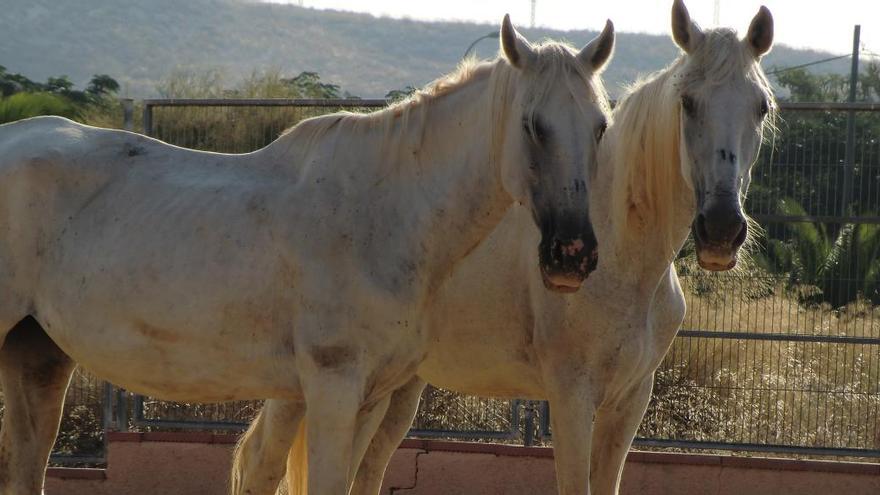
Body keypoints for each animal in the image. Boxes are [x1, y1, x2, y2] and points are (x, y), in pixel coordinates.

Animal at [0, 15, 612, 495]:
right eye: (533, 125)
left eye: (601, 126)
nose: (572, 256)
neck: (384, 211)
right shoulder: (332, 390)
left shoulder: (369, 399)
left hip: (38, 353)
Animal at [235, 1, 776, 494]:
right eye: (688, 102)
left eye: (761, 106)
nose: (721, 229)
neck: (626, 255)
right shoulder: (572, 396)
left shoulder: (629, 402)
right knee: (263, 460)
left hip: (393, 391)